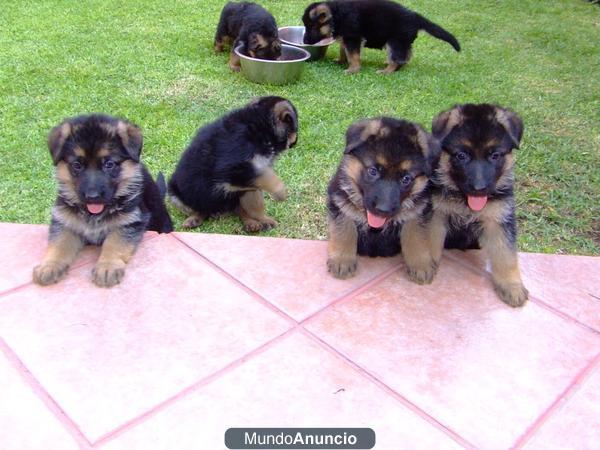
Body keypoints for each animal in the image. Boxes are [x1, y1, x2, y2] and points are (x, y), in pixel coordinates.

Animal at [32, 114, 172, 286]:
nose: (92, 197)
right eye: (77, 165)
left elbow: (114, 243)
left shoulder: (130, 221)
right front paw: (49, 266)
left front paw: (107, 267)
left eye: (109, 164)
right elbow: (60, 244)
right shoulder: (66, 221)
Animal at [168, 97, 298, 232]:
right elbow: (263, 178)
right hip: (175, 194)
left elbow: (255, 200)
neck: (259, 125)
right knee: (200, 210)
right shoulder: (232, 167)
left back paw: (252, 222)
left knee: (241, 209)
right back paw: (195, 218)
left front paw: (261, 218)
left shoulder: (251, 177)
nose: (294, 142)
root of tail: (219, 210)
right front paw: (280, 190)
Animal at [302, 0, 462, 74]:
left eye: (312, 27)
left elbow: (353, 55)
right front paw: (341, 61)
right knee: (405, 56)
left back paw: (387, 71)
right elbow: (344, 51)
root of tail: (415, 17)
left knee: (397, 58)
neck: (336, 15)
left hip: (395, 41)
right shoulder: (347, 38)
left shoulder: (353, 38)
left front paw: (353, 69)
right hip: (402, 42)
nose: (305, 41)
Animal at [326, 117, 438, 278]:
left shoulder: (418, 211)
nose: (383, 210)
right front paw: (342, 260)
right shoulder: (339, 201)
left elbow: (416, 236)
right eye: (373, 171)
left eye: (406, 179)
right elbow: (344, 230)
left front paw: (420, 264)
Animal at [406, 103, 528, 308]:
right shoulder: (437, 214)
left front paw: (512, 287)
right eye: (461, 155)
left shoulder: (499, 221)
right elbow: (431, 241)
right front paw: (428, 263)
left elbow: (506, 256)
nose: (479, 189)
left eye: (495, 155)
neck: (465, 200)